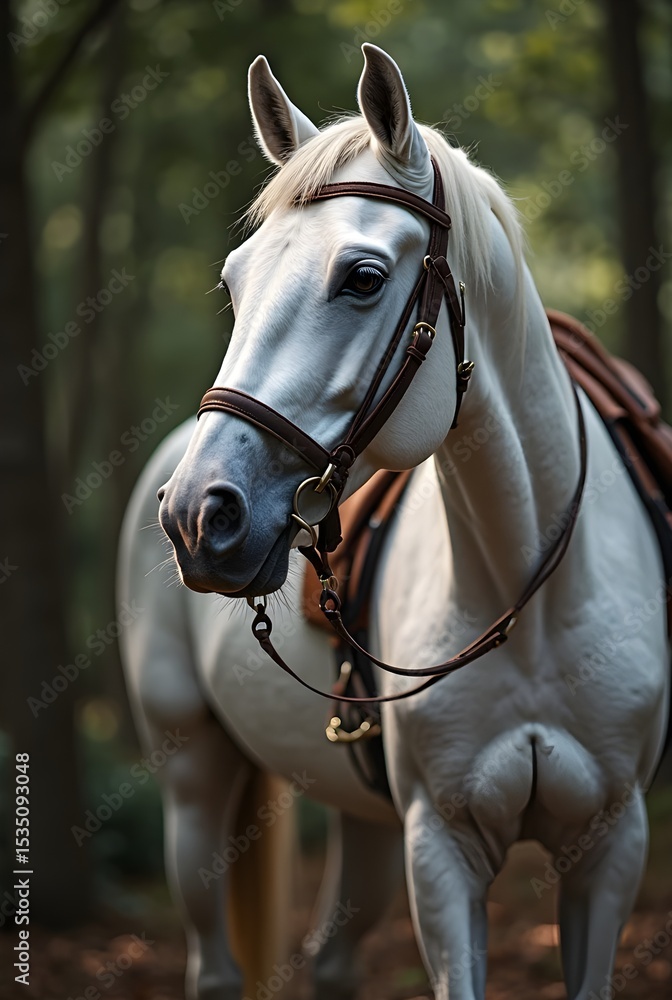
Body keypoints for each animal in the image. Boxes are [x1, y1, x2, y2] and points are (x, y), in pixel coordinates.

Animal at [118, 43, 669, 1000]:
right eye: (234, 281)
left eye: (363, 278)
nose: (197, 515)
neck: (527, 600)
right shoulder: (441, 852)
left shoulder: (611, 845)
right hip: (193, 781)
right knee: (214, 963)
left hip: (367, 821)